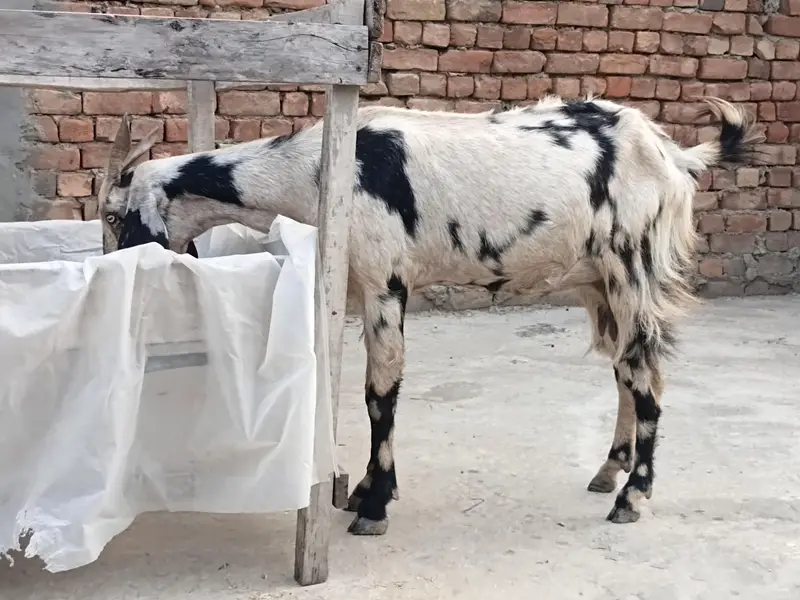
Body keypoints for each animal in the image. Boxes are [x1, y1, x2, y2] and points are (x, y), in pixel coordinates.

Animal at [99, 96, 761, 535]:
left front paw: (373, 504)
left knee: (646, 373)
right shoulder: (359, 286)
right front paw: (366, 489)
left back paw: (632, 498)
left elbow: (379, 390)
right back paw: (610, 470)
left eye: (111, 214)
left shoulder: (385, 280)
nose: (113, 264)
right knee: (625, 368)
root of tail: (672, 154)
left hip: (632, 266)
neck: (314, 171)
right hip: (599, 281)